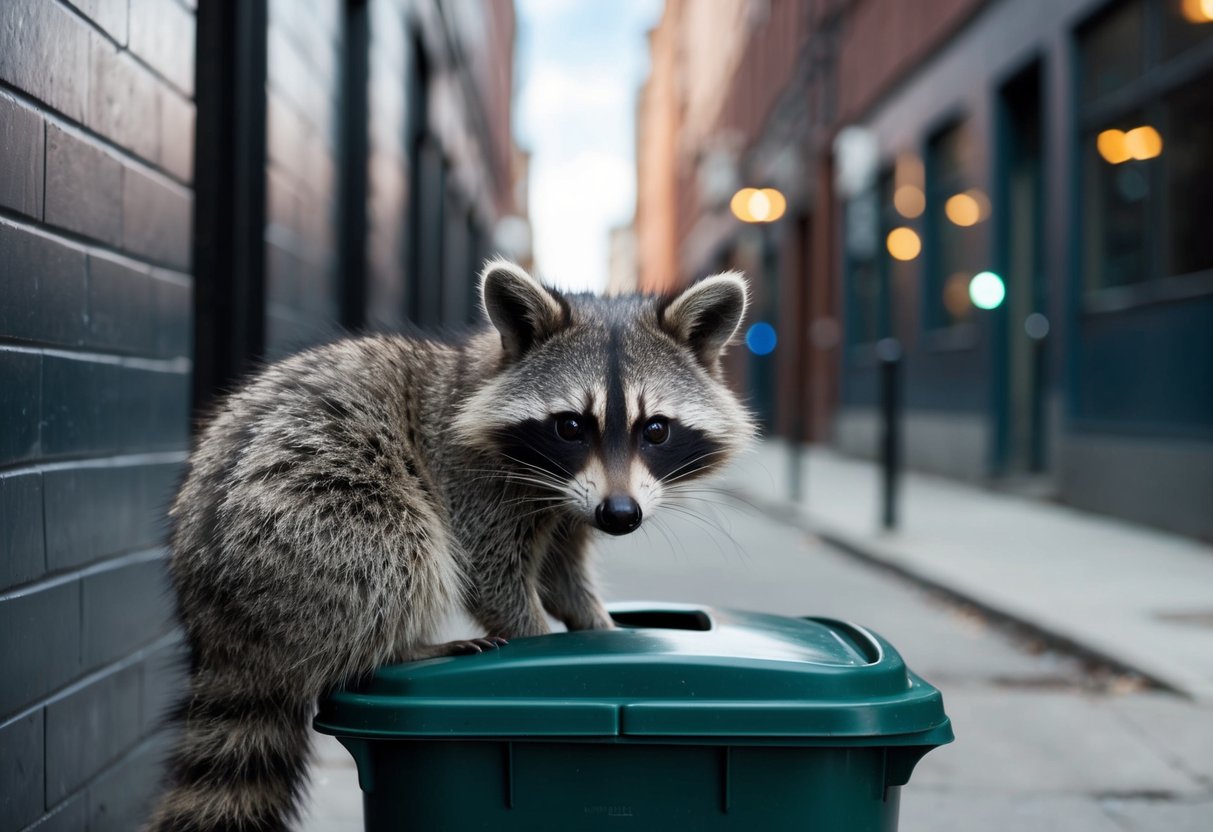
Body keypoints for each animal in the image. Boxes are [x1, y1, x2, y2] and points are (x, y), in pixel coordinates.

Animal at [146, 261, 754, 831]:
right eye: (570, 426)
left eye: (656, 429)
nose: (621, 516)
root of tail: (222, 626)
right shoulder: (469, 478)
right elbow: (488, 572)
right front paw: (538, 637)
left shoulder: (574, 505)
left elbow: (561, 572)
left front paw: (595, 623)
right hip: (306, 515)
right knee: (395, 551)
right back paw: (403, 645)